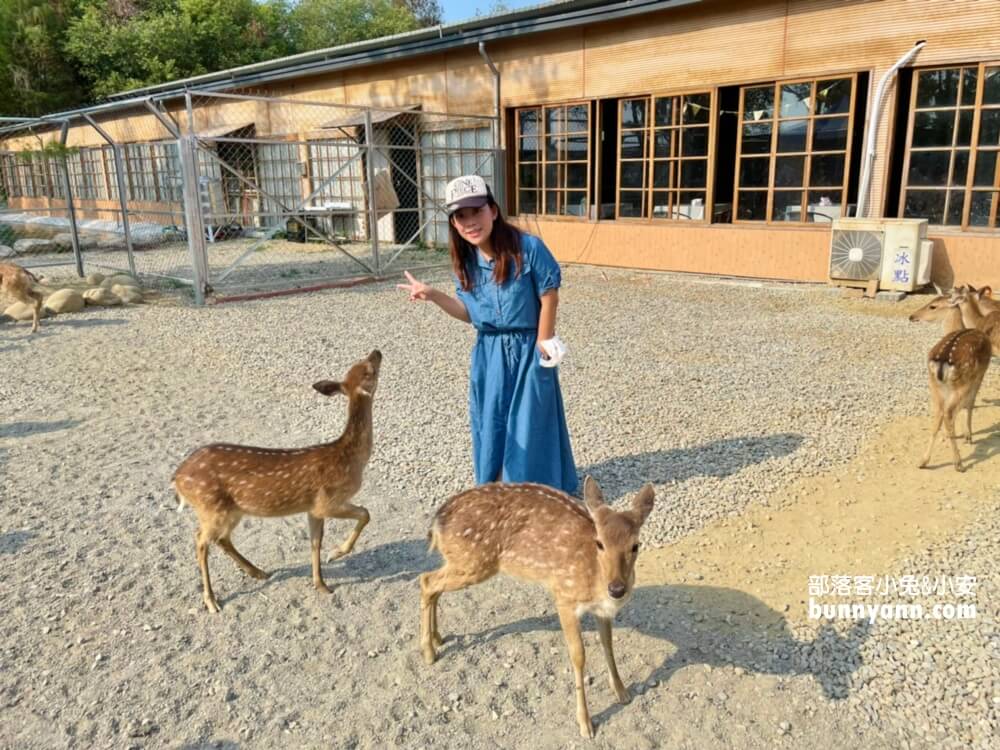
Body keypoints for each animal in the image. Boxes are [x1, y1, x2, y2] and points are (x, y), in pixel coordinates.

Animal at [172, 350, 378, 612]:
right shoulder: (328, 500)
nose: (377, 352)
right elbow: (365, 513)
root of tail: (176, 479)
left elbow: (315, 543)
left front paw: (321, 584)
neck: (350, 458)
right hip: (210, 506)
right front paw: (336, 553)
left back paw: (257, 572)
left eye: (359, 363)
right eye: (369, 370)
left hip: (231, 510)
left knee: (221, 538)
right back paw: (211, 601)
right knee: (200, 540)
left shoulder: (313, 508)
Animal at [418, 478, 652, 736]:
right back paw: (428, 652)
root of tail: (437, 522)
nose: (617, 589)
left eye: (636, 545)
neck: (595, 580)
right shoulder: (564, 598)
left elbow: (608, 644)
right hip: (472, 562)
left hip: (462, 563)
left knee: (432, 584)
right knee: (426, 581)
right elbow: (578, 656)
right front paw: (585, 723)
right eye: (599, 543)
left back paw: (437, 638)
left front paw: (622, 692)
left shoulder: (602, 610)